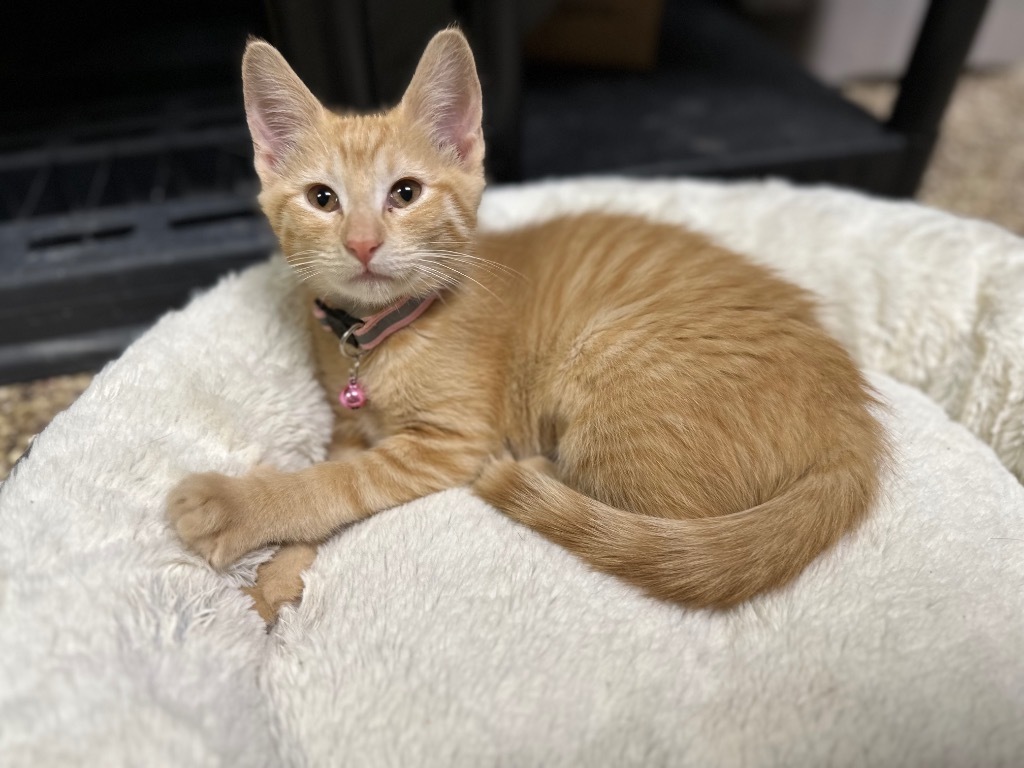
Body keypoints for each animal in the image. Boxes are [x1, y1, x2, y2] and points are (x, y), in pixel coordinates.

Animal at [167, 30, 888, 622]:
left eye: (405, 193)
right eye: (323, 199)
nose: (363, 243)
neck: (382, 337)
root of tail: (853, 423)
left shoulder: (451, 442)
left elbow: (338, 484)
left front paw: (236, 507)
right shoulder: (347, 428)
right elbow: (327, 485)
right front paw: (276, 580)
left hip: (610, 364)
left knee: (661, 519)